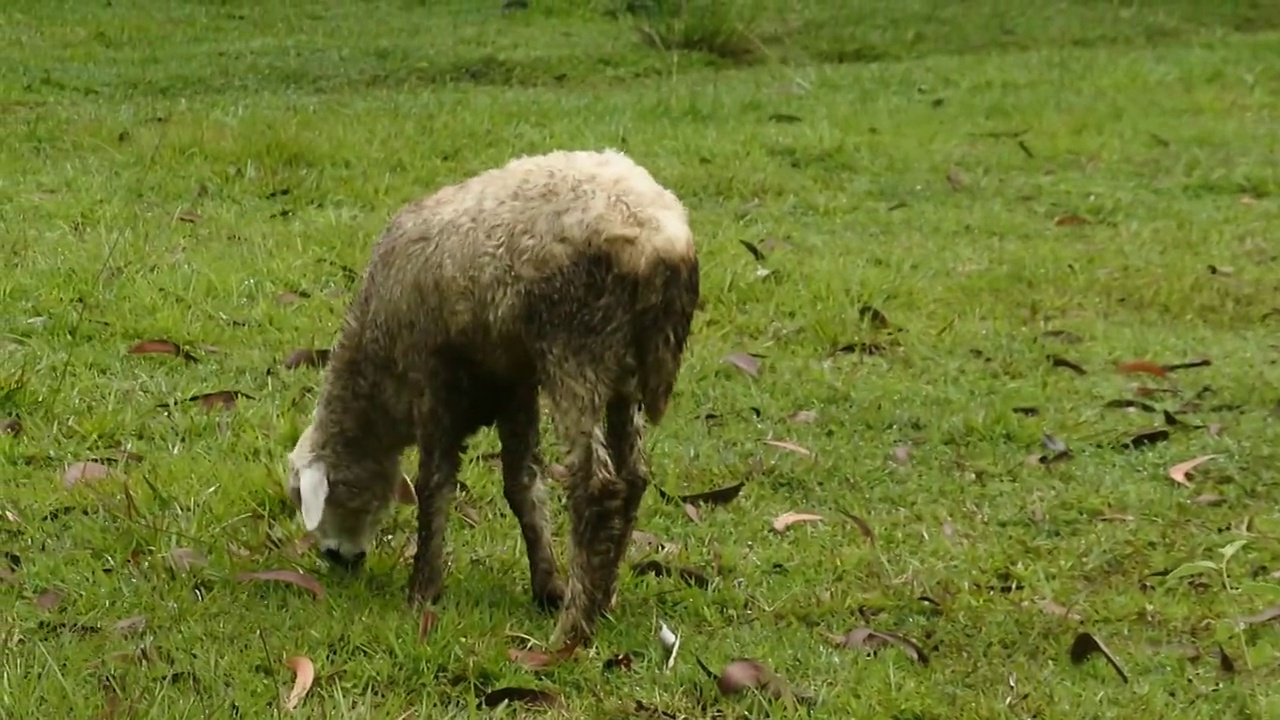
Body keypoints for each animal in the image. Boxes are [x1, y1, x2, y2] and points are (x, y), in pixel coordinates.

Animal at [288, 147, 701, 645]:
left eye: (306, 497)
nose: (336, 559)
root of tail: (662, 239)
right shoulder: (514, 385)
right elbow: (522, 486)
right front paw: (546, 584)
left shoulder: (433, 379)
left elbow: (434, 486)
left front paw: (423, 589)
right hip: (623, 369)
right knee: (634, 476)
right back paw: (603, 596)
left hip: (575, 347)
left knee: (597, 487)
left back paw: (572, 629)